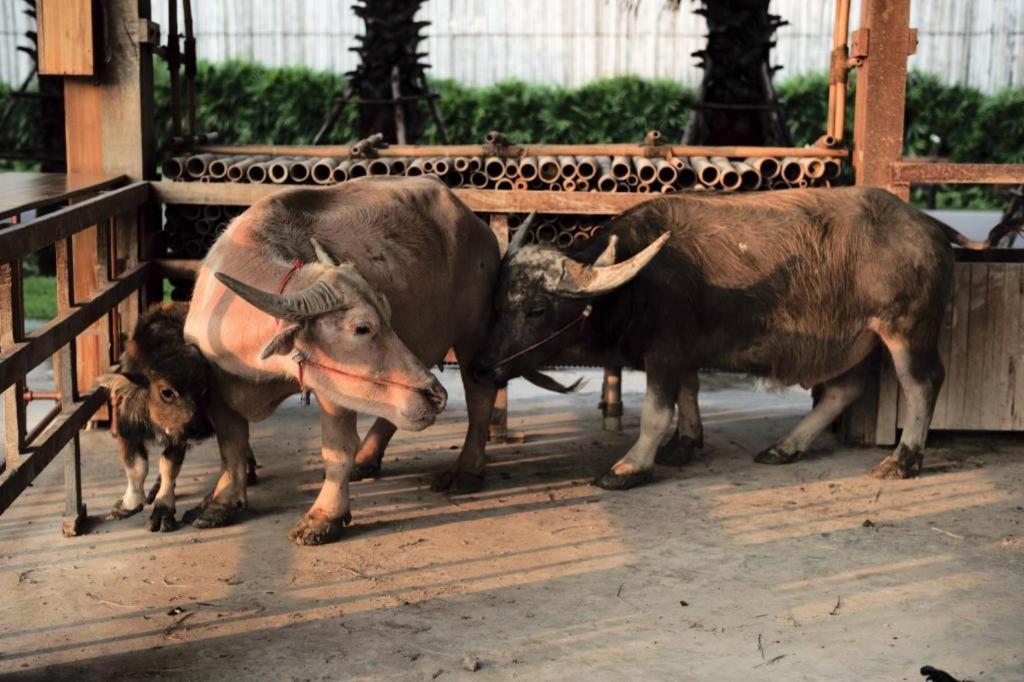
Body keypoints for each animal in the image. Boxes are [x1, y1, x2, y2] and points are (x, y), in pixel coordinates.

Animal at [186, 174, 501, 540]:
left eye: (386, 316)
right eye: (362, 327)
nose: (435, 395)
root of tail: (474, 221)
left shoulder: (334, 391)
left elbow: (336, 449)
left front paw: (325, 516)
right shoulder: (216, 388)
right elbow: (231, 445)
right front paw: (220, 502)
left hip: (474, 331)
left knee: (480, 396)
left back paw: (466, 471)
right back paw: (367, 458)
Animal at [471, 183, 1015, 485]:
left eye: (537, 308)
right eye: (498, 304)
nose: (483, 365)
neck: (636, 282)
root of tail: (928, 224)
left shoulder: (664, 352)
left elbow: (655, 412)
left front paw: (631, 467)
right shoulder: (683, 352)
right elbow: (688, 396)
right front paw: (685, 444)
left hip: (906, 329)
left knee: (921, 385)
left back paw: (903, 461)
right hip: (855, 338)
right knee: (845, 388)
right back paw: (786, 447)